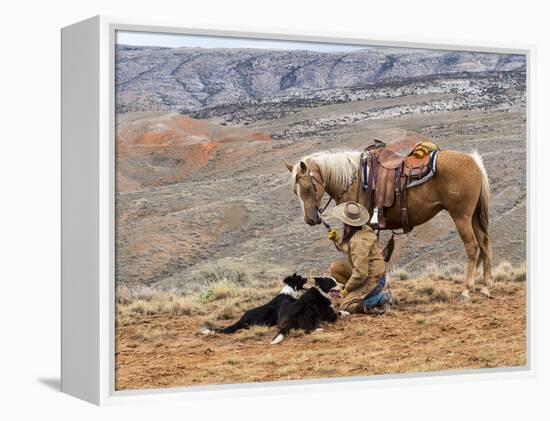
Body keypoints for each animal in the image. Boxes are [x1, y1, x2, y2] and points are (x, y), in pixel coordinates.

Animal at [286, 146, 494, 300]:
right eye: (294, 191)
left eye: (306, 187)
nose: (310, 219)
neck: (353, 180)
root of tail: (473, 161)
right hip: (474, 216)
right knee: (484, 243)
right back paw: (485, 286)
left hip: (461, 216)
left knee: (472, 247)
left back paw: (466, 289)